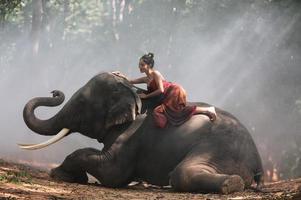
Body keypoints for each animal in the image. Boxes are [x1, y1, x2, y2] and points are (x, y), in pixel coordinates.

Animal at [21, 71, 262, 194]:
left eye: (81, 103)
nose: (54, 92)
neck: (134, 93)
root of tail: (257, 161)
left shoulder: (131, 135)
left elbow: (113, 172)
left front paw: (60, 174)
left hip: (218, 149)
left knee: (182, 173)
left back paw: (231, 184)